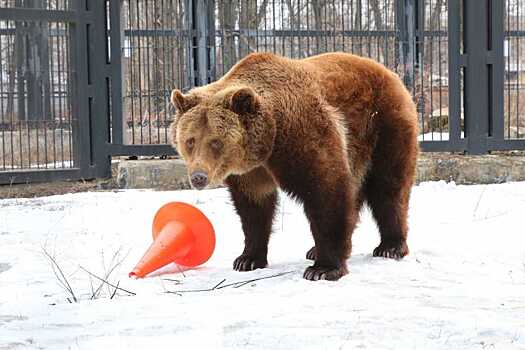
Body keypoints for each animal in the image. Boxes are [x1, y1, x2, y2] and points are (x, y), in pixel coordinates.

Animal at [170, 52, 420, 282]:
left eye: (216, 142)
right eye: (190, 141)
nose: (199, 177)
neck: (268, 142)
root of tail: (391, 74)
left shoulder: (303, 135)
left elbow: (326, 192)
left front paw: (323, 269)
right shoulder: (252, 172)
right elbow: (254, 209)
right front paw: (247, 259)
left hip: (383, 125)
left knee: (388, 187)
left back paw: (391, 246)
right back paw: (317, 249)